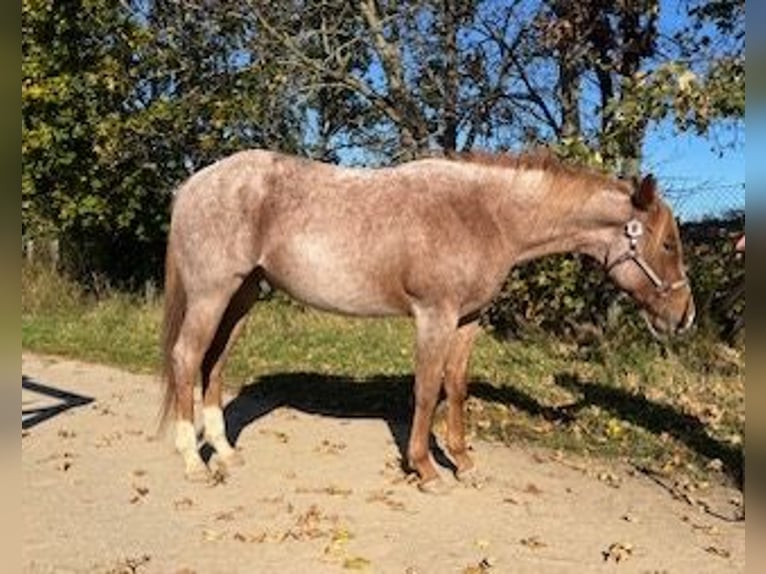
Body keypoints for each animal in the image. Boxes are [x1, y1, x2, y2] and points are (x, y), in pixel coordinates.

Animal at [160, 148, 696, 490]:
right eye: (668, 244)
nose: (685, 316)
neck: (486, 216)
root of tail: (193, 184)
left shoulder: (467, 318)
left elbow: (455, 387)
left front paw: (463, 461)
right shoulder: (433, 315)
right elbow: (425, 389)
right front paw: (425, 468)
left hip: (242, 296)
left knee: (214, 362)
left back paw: (225, 452)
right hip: (212, 293)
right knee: (187, 357)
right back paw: (192, 459)